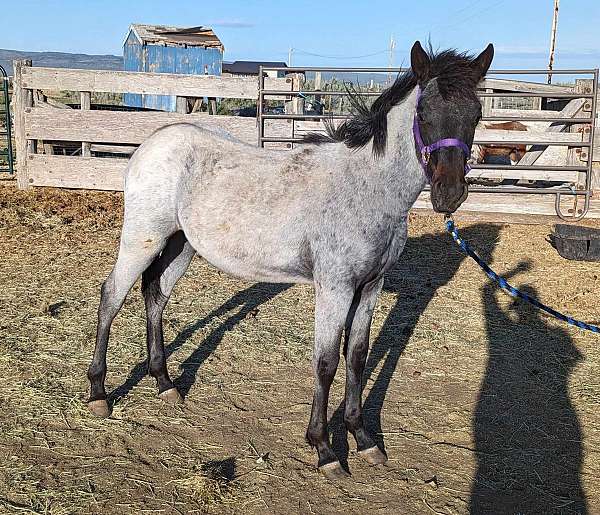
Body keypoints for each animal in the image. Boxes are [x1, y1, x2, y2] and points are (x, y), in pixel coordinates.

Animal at [86, 40, 494, 480]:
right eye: (423, 113)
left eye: (476, 114)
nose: (449, 194)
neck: (367, 189)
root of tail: (154, 140)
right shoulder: (334, 288)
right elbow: (326, 362)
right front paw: (325, 450)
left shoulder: (371, 286)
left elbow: (357, 357)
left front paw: (363, 440)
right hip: (142, 238)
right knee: (111, 296)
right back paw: (98, 393)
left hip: (182, 244)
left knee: (155, 296)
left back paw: (164, 383)